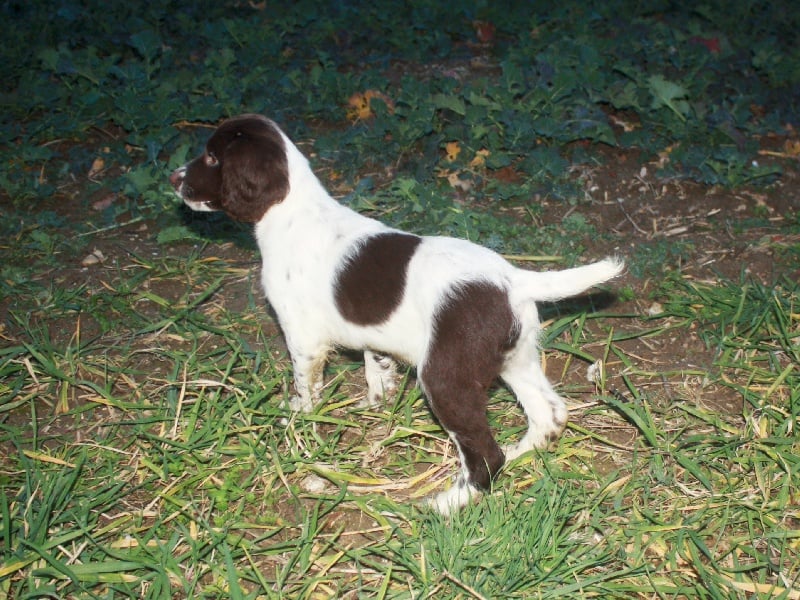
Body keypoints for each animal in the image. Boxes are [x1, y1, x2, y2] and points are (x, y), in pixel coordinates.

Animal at [170, 115, 624, 512]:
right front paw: (375, 399)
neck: (292, 212)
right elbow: (376, 366)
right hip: (516, 358)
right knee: (549, 413)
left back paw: (448, 503)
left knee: (485, 454)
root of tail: (513, 279)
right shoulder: (373, 336)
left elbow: (307, 386)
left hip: (445, 377)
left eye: (212, 157)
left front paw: (298, 417)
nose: (174, 178)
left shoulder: (302, 337)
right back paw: (520, 453)